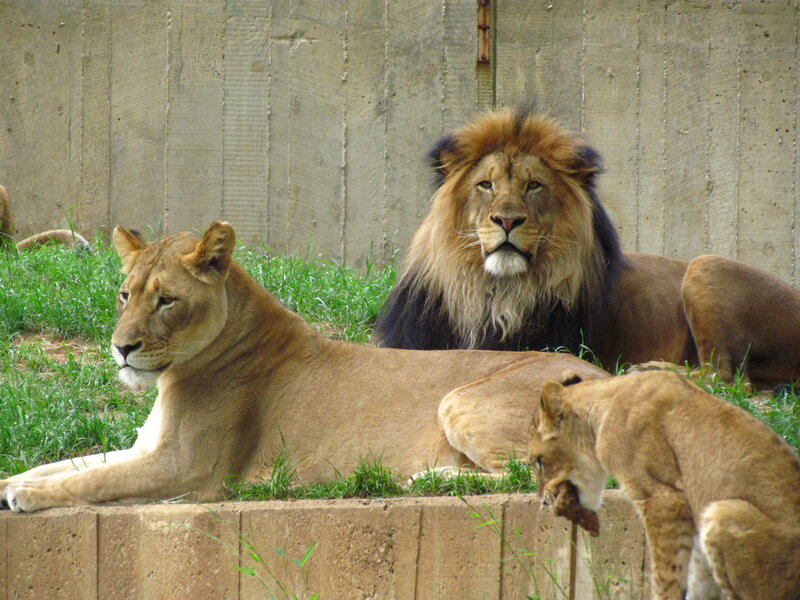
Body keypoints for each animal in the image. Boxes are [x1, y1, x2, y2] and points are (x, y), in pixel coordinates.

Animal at [0, 221, 608, 512]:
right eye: (125, 294)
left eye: (167, 300)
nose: (121, 348)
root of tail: (610, 378)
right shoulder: (146, 449)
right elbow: (65, 464)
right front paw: (13, 483)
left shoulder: (190, 470)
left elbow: (94, 479)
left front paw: (29, 499)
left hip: (461, 399)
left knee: (533, 473)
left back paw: (425, 477)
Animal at [374, 107, 800, 389]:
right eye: (486, 185)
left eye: (533, 186)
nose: (507, 221)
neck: (492, 292)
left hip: (706, 265)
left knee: (729, 378)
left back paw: (647, 370)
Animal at [528, 370, 800, 600]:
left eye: (539, 462)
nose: (543, 499)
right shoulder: (692, 516)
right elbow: (698, 583)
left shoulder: (663, 500)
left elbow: (665, 575)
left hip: (723, 511)